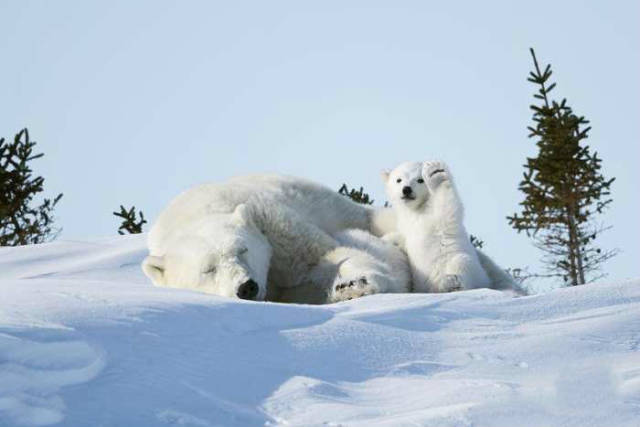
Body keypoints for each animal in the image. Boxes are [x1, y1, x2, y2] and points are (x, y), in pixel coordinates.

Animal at [382, 160, 524, 294]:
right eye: (399, 179)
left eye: (420, 180)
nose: (406, 189)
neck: (417, 210)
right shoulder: (406, 224)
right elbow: (402, 237)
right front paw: (387, 240)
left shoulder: (436, 218)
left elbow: (447, 206)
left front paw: (435, 172)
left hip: (467, 267)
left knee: (462, 264)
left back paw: (451, 282)